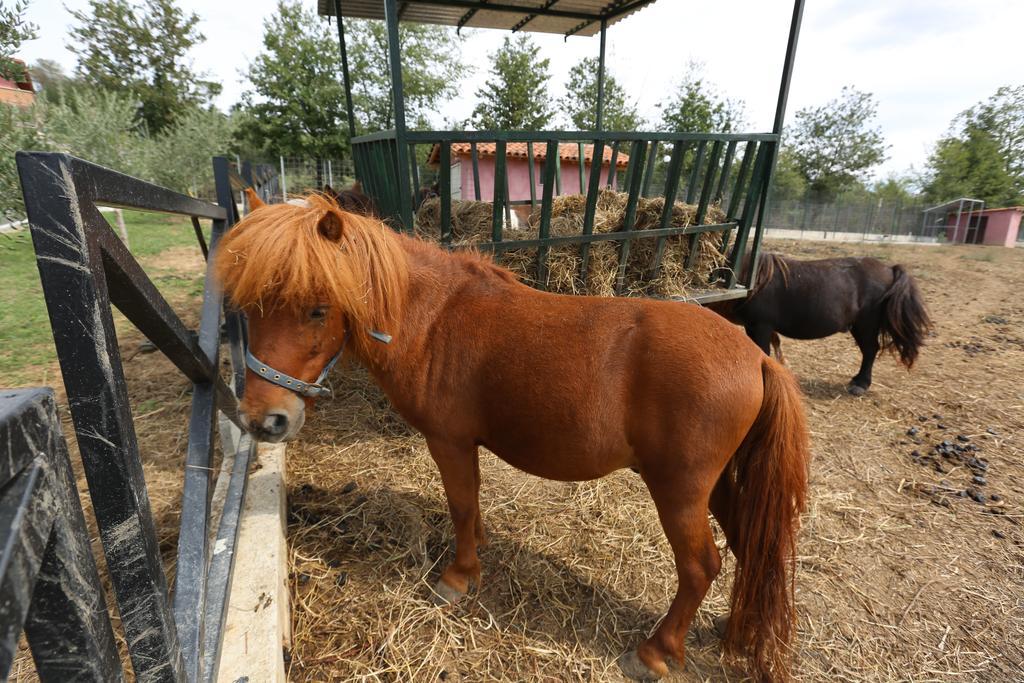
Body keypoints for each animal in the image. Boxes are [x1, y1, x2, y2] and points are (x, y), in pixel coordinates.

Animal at [214, 189, 806, 679]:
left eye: (317, 309)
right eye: (247, 306)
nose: (264, 419)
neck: (432, 319)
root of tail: (755, 358)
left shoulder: (448, 441)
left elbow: (459, 504)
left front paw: (458, 577)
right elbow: (472, 505)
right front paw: (477, 553)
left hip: (680, 492)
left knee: (701, 566)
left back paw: (656, 652)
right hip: (720, 487)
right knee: (751, 548)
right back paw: (733, 631)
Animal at [708, 253, 933, 395]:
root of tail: (889, 268)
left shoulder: (761, 325)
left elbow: (763, 351)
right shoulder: (756, 326)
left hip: (866, 324)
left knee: (870, 350)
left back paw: (861, 384)